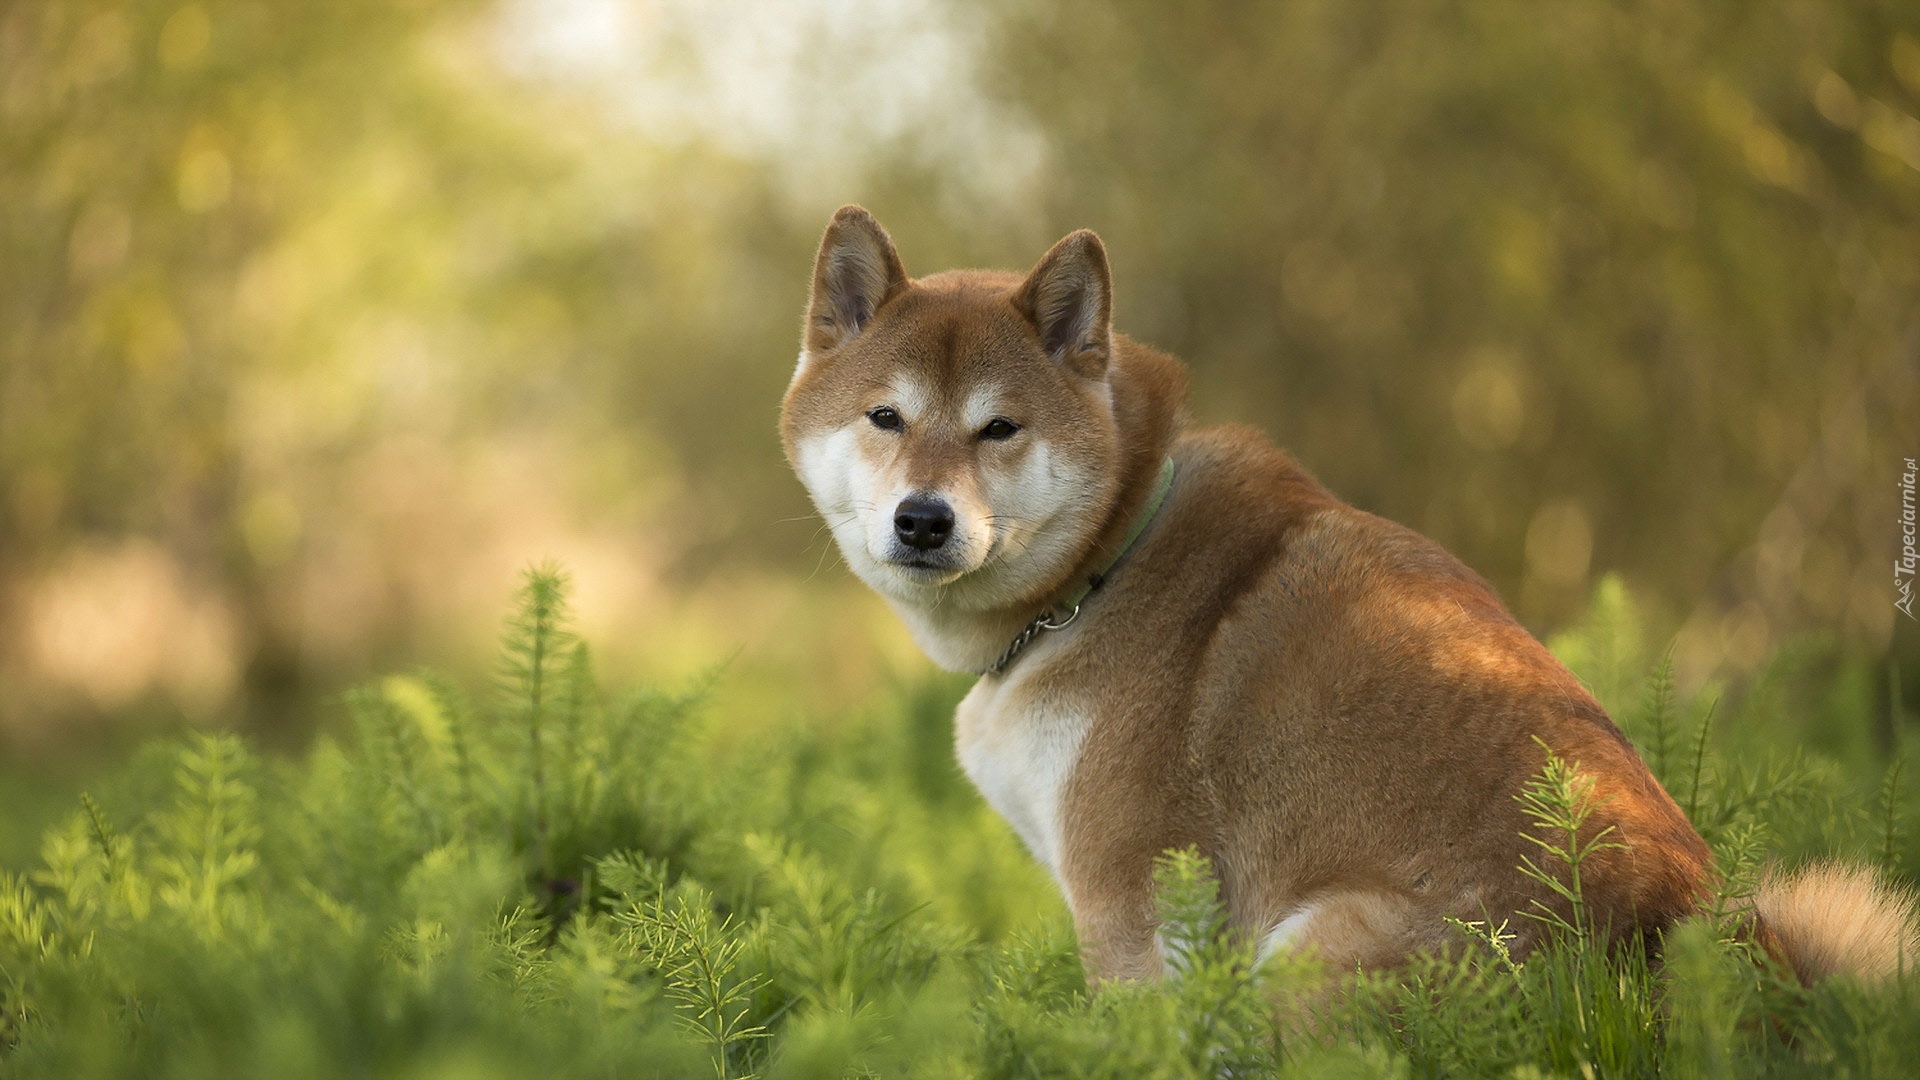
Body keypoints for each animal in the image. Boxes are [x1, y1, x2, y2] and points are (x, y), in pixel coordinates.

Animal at [775, 203, 1904, 983]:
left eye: (999, 429)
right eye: (885, 417)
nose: (924, 519)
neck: (1104, 565)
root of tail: (1699, 954)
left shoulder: (1133, 902)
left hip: (1314, 948)